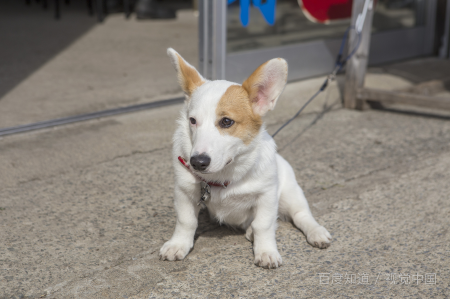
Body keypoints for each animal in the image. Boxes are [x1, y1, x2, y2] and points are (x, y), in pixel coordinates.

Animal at [158, 48, 330, 270]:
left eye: (226, 121)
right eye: (192, 121)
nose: (197, 162)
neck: (225, 172)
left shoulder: (266, 196)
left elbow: (264, 224)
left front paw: (266, 251)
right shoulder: (184, 192)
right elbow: (186, 221)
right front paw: (178, 245)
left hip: (290, 194)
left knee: (301, 215)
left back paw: (316, 232)